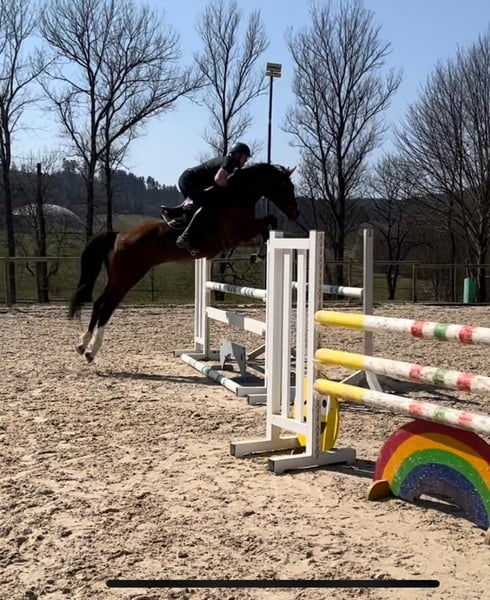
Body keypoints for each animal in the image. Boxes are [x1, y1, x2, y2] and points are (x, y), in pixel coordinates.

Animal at [68, 162, 299, 362]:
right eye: (287, 187)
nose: (295, 214)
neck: (237, 195)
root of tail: (117, 235)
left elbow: (268, 224)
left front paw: (259, 253)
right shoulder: (239, 233)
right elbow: (269, 221)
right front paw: (260, 253)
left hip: (117, 277)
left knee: (98, 303)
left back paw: (82, 344)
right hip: (127, 277)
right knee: (106, 306)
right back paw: (92, 351)